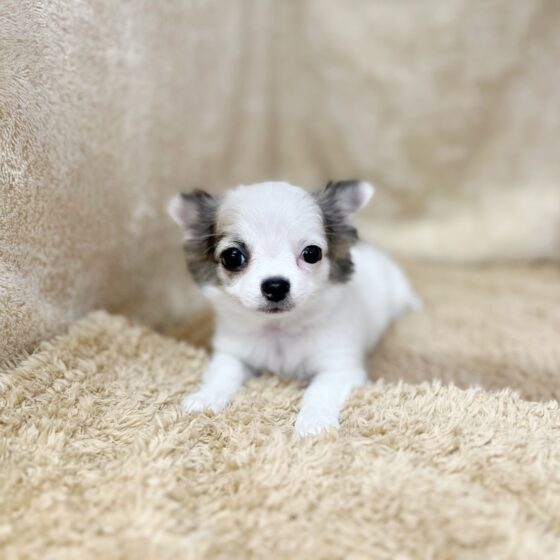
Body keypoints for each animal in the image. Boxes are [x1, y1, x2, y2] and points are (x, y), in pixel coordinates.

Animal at [168, 180, 419, 436]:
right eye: (232, 257)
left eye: (312, 253)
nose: (275, 285)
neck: (281, 329)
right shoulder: (233, 353)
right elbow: (222, 374)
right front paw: (205, 398)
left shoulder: (339, 367)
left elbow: (319, 391)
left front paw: (315, 421)